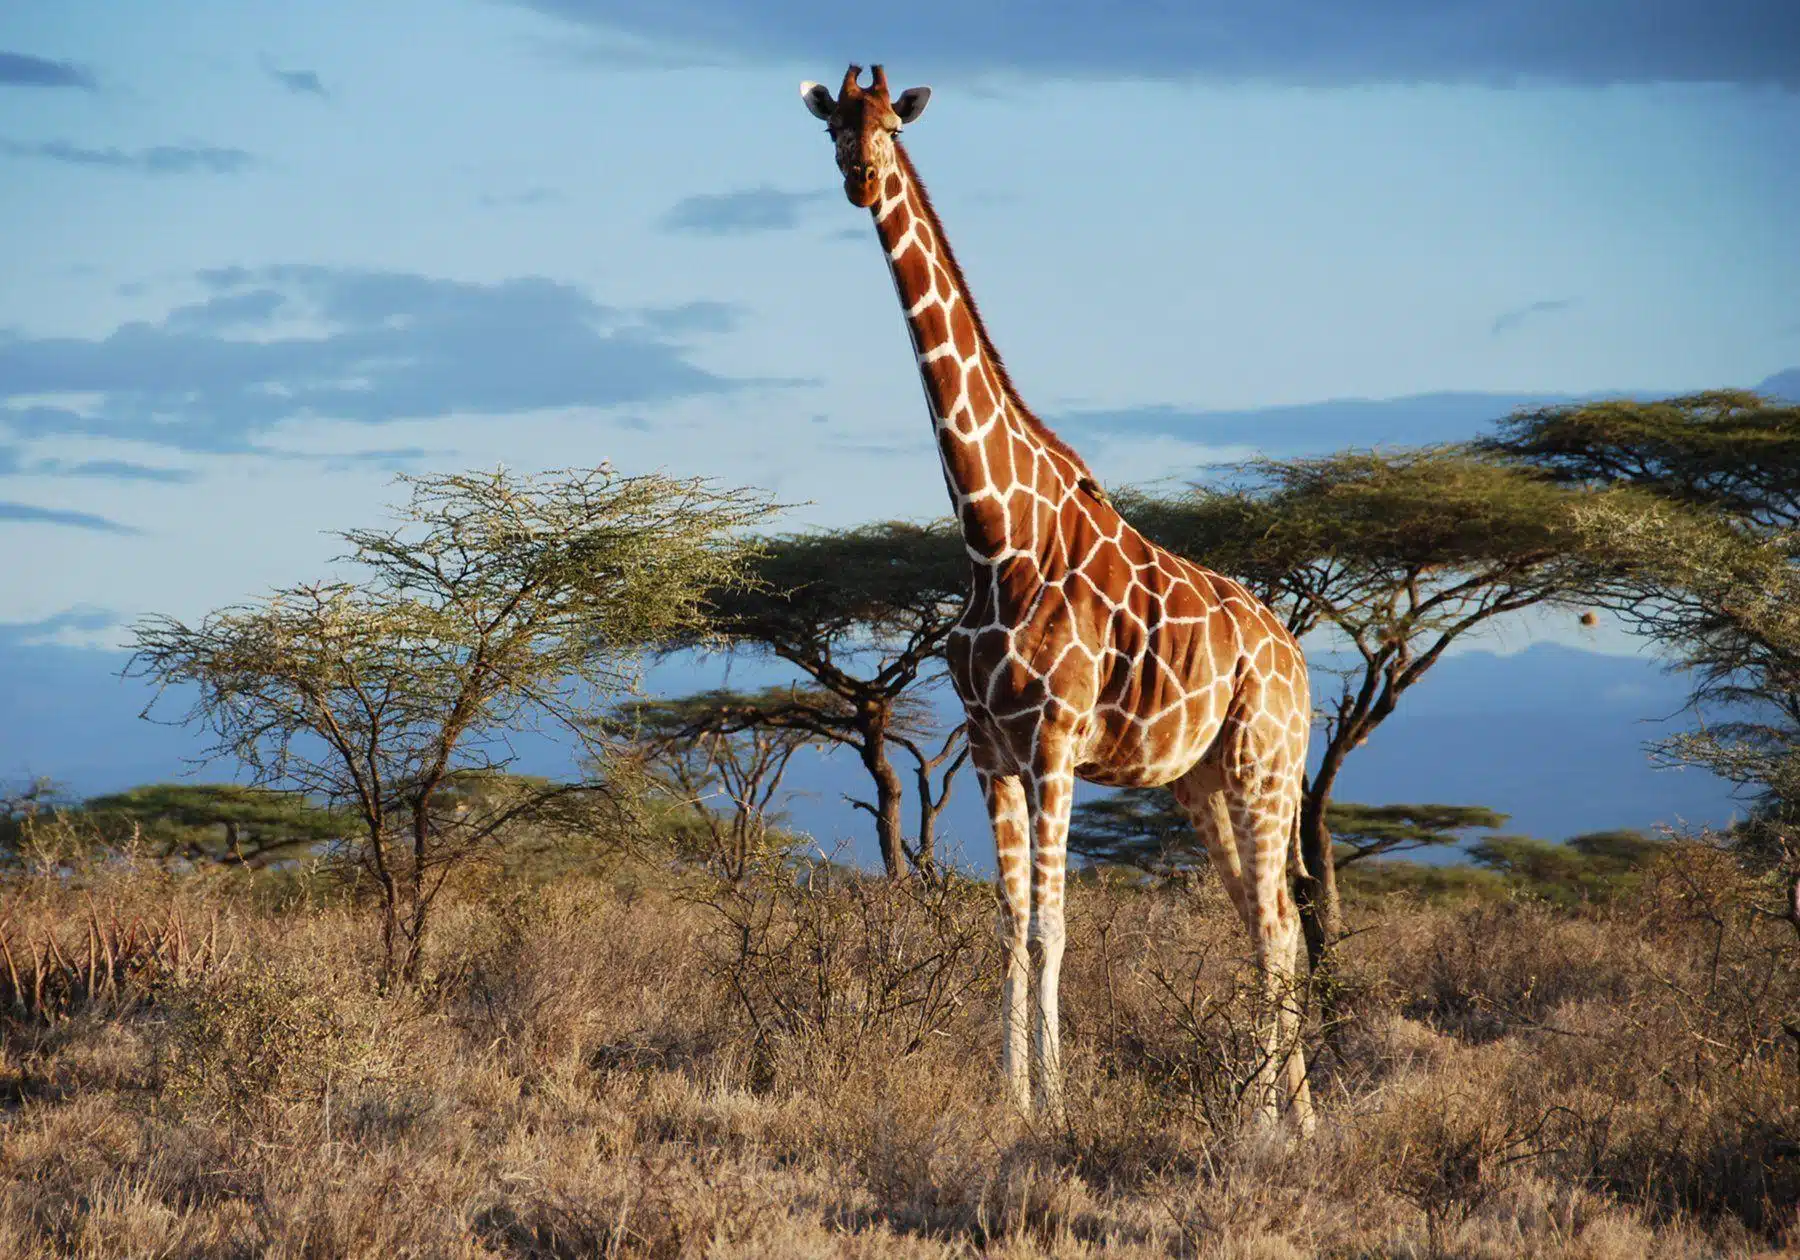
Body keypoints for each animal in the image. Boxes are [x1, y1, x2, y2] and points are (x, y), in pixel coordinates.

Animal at [801, 65, 1314, 1132]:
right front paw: (1013, 1102)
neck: (994, 535)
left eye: (890, 127)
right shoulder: (991, 749)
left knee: (1279, 924)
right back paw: (1290, 1120)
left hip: (1266, 766)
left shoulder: (1055, 742)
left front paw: (1060, 1109)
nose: (860, 178)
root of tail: (1300, 661)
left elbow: (1055, 926)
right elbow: (1010, 925)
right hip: (1204, 782)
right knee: (1267, 922)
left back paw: (1274, 1121)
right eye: (833, 127)